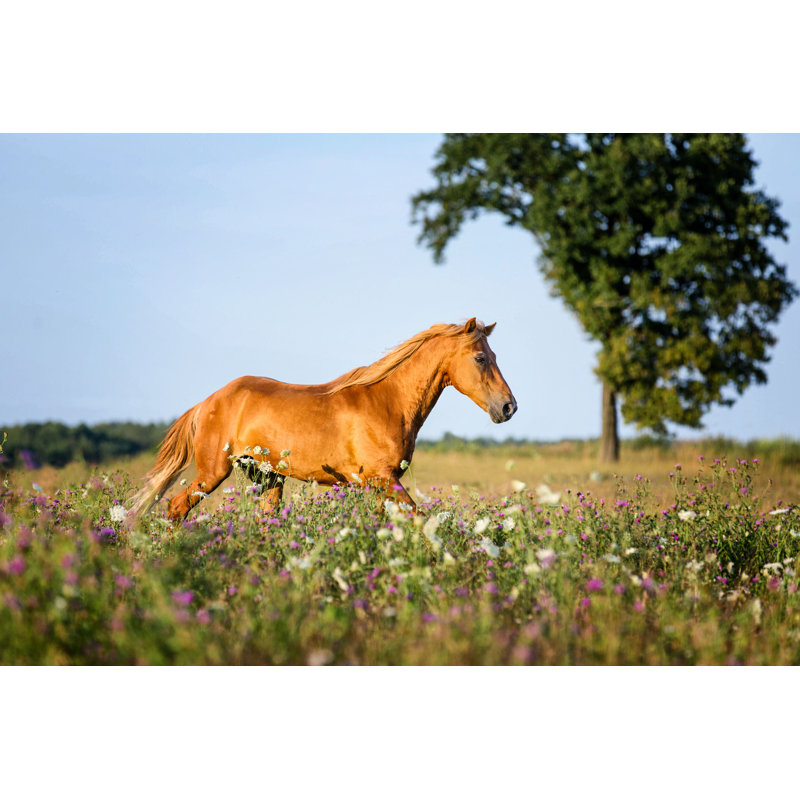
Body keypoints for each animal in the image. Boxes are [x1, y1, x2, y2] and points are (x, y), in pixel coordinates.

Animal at [128, 318, 517, 523]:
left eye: (496, 355)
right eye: (481, 358)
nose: (509, 407)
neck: (387, 401)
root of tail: (207, 402)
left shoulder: (379, 485)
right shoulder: (382, 479)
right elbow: (419, 520)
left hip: (268, 479)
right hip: (212, 472)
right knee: (176, 506)